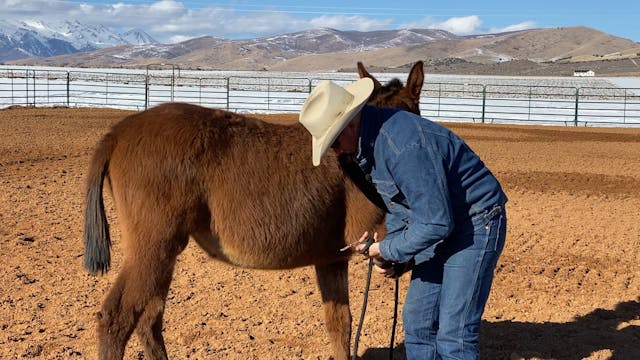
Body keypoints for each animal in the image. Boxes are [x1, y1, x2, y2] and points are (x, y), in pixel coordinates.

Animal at [85, 60, 424, 358]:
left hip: (163, 253)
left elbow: (340, 326)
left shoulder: (331, 258)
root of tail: (119, 132)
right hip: (154, 246)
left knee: (149, 318)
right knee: (118, 318)